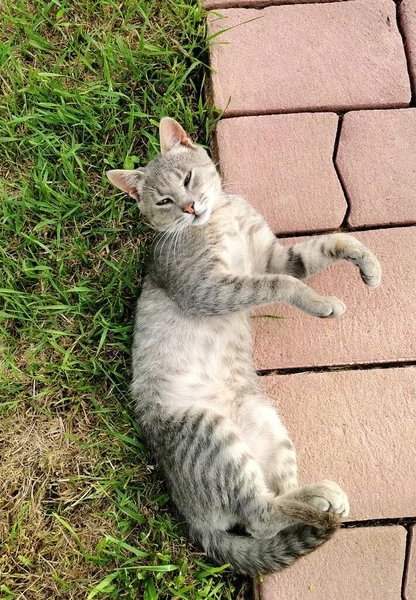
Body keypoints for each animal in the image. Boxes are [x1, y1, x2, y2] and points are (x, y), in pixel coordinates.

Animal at [106, 117, 380, 576]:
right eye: (163, 201)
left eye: (187, 178)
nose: (190, 207)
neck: (221, 216)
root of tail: (195, 521)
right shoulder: (210, 288)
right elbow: (281, 285)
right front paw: (322, 303)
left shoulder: (274, 256)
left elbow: (327, 244)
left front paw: (367, 264)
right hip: (212, 433)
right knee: (260, 516)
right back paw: (321, 496)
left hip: (267, 423)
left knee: (271, 509)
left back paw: (321, 498)